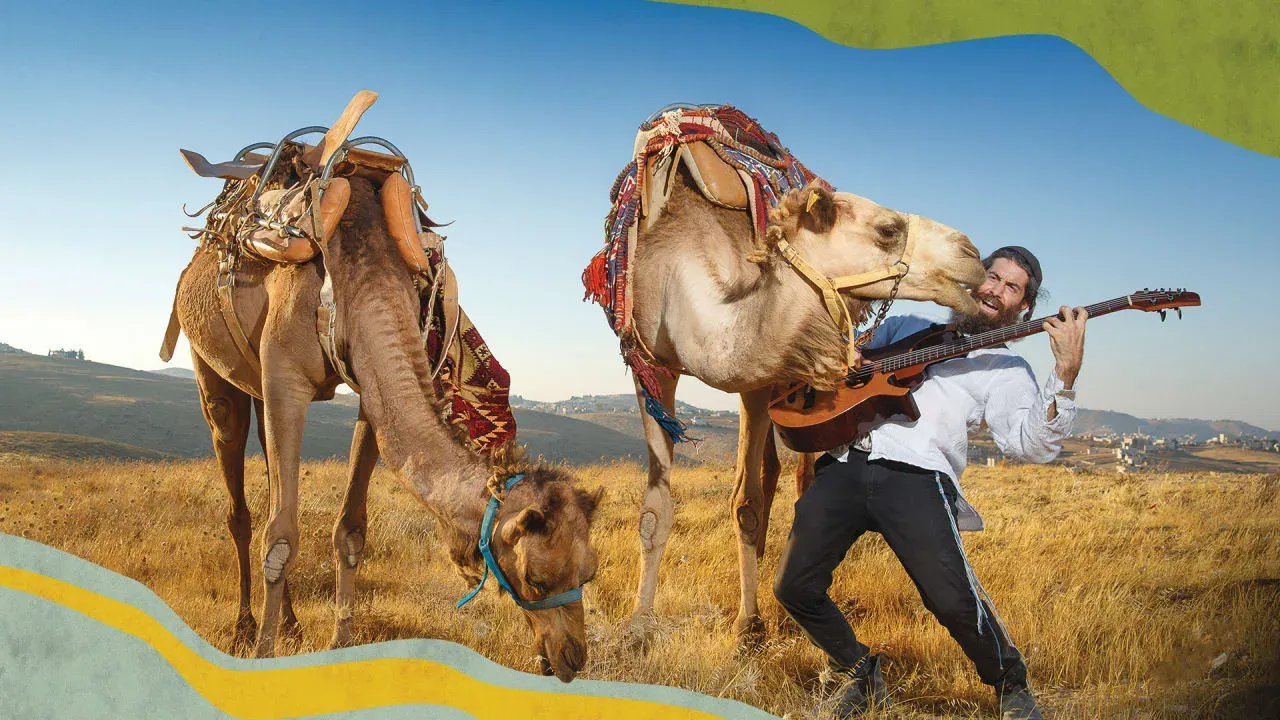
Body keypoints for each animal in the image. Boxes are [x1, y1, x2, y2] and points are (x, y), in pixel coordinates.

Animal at [170, 103, 601, 681]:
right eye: (536, 579)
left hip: (256, 386)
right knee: (239, 500)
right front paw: (263, 659)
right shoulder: (286, 379)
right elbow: (280, 537)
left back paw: (291, 625)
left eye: (589, 572)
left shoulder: (366, 394)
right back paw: (244, 627)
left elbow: (350, 530)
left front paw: (340, 645)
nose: (571, 657)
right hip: (211, 370)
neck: (362, 274)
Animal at [619, 165, 987, 644]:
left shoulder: (758, 381)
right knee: (774, 468)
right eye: (888, 230)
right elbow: (655, 508)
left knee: (801, 474)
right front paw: (638, 625)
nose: (972, 254)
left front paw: (748, 625)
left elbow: (745, 504)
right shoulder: (650, 367)